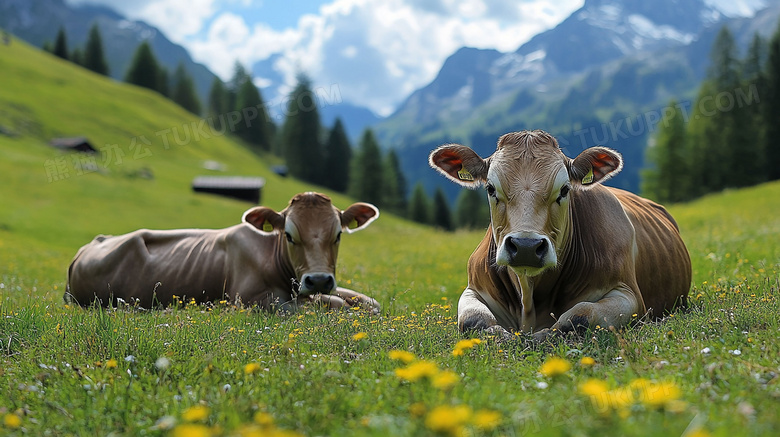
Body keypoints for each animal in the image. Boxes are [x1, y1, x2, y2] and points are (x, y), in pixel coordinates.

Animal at [66, 192, 380, 312]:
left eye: (338, 234)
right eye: (289, 235)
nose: (318, 280)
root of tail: (91, 244)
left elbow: (369, 302)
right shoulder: (252, 299)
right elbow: (335, 304)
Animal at [430, 129, 692, 340]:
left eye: (565, 190)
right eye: (490, 188)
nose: (526, 246)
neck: (529, 298)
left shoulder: (629, 295)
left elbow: (580, 315)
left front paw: (543, 335)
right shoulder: (473, 288)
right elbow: (473, 319)